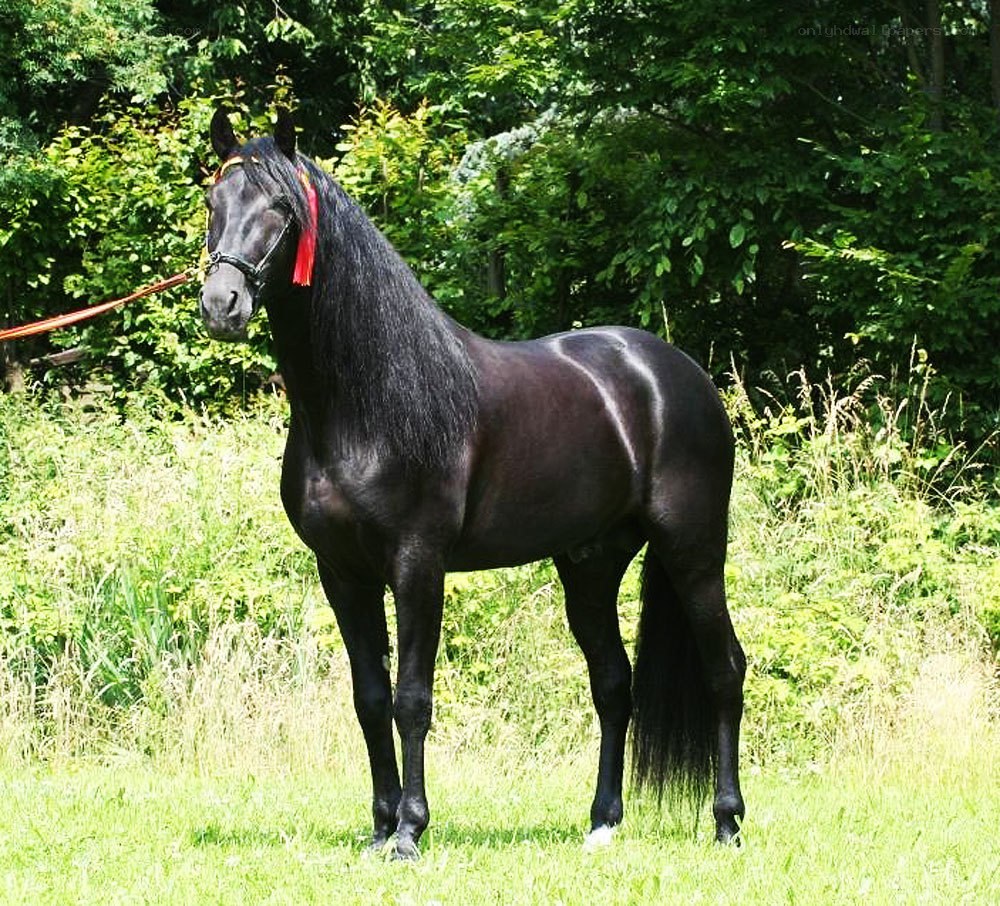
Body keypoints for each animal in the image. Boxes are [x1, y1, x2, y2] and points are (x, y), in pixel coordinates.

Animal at [199, 107, 746, 859]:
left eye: (281, 207)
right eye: (213, 203)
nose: (221, 304)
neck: (367, 403)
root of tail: (678, 374)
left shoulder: (417, 564)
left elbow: (411, 699)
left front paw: (409, 832)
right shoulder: (342, 572)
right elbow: (369, 698)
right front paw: (380, 827)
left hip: (693, 550)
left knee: (724, 671)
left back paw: (727, 823)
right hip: (592, 565)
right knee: (613, 684)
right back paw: (602, 823)